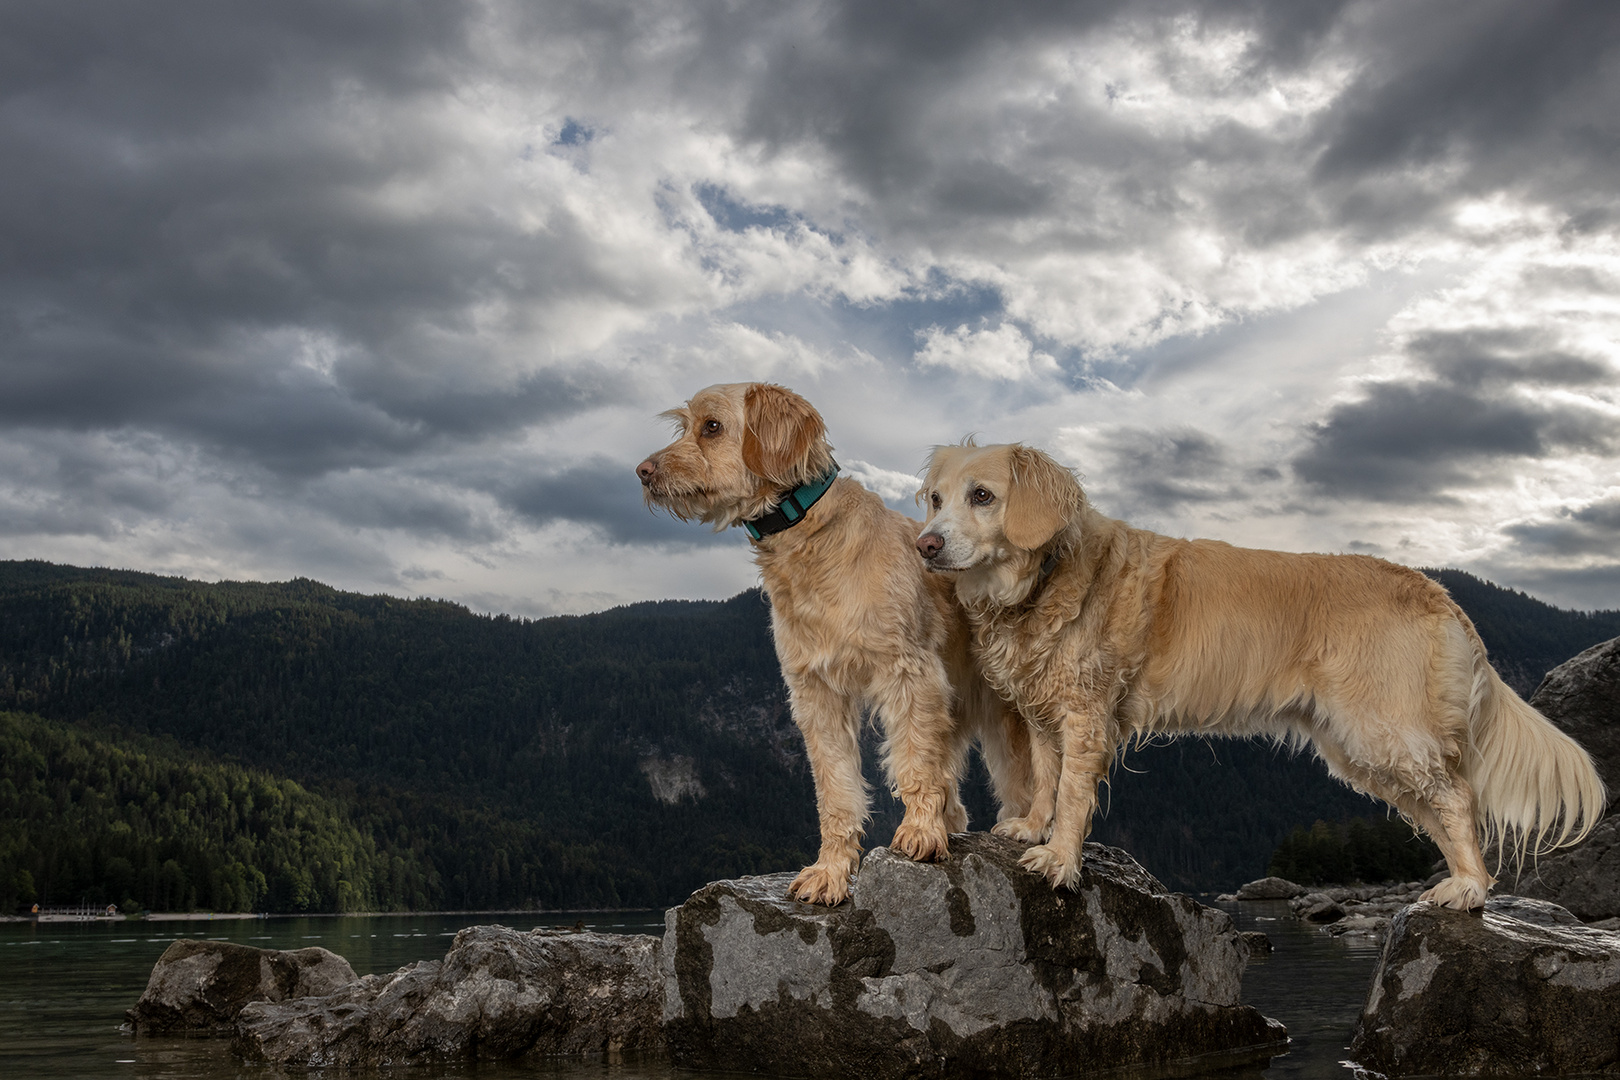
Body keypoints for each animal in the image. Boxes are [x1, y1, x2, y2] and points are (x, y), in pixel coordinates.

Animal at [638, 383, 1056, 906]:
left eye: (711, 426)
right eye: (684, 426)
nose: (642, 471)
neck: (810, 538)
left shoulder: (908, 675)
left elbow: (915, 762)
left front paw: (920, 832)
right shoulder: (817, 694)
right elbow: (836, 790)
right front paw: (831, 870)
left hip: (1004, 716)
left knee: (1017, 784)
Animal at [920, 440, 1600, 913]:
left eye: (982, 496)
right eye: (935, 498)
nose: (926, 544)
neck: (1039, 579)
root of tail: (1438, 592)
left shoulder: (1087, 714)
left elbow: (1072, 794)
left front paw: (1060, 859)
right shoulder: (1042, 710)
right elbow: (1044, 777)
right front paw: (1031, 827)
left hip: (1385, 732)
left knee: (1460, 799)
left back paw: (1471, 890)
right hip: (1367, 751)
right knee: (1440, 809)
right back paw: (1460, 880)